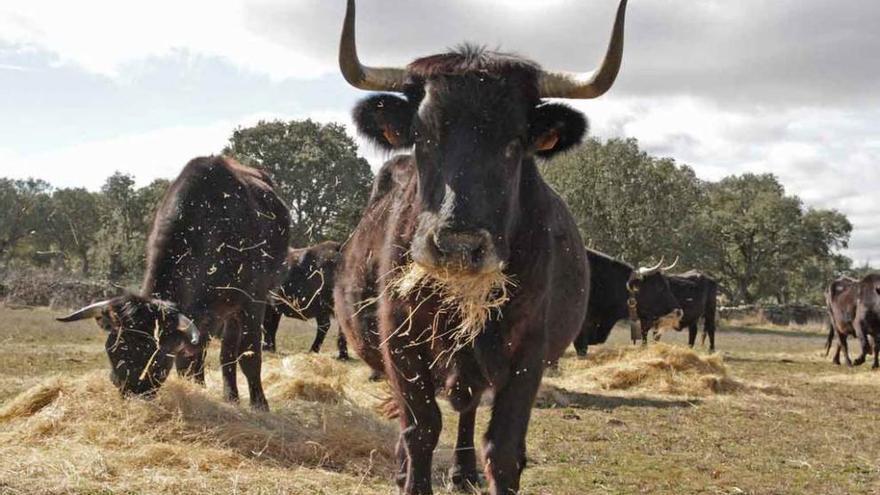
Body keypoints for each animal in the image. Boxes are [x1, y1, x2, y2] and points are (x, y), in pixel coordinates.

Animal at [59, 158, 292, 410]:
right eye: (112, 349)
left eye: (155, 355)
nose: (132, 394)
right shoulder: (200, 314)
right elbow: (188, 361)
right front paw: (197, 391)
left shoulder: (253, 301)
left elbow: (250, 355)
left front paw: (260, 405)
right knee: (221, 354)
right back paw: (230, 396)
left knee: (230, 352)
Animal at [334, 1, 628, 494]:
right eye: (423, 136)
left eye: (515, 141)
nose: (457, 245)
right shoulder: (401, 343)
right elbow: (420, 429)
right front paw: (411, 476)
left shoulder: (529, 352)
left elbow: (504, 448)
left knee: (468, 407)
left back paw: (462, 471)